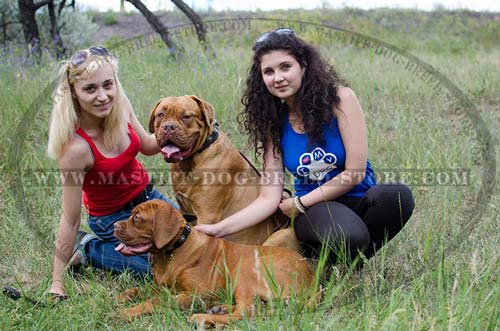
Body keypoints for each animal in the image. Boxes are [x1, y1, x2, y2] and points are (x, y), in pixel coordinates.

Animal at [114, 200, 316, 326]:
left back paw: (201, 318)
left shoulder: (197, 294)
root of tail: (312, 279)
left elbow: (156, 300)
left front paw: (129, 311)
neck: (174, 250)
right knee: (256, 307)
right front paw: (122, 296)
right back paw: (220, 308)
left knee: (246, 312)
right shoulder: (163, 286)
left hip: (245, 268)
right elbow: (139, 290)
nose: (115, 226)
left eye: (137, 218)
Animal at [146, 94, 298, 250]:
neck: (192, 160)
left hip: (279, 236)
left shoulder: (207, 214)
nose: (168, 127)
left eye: (186, 116)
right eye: (160, 115)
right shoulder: (185, 210)